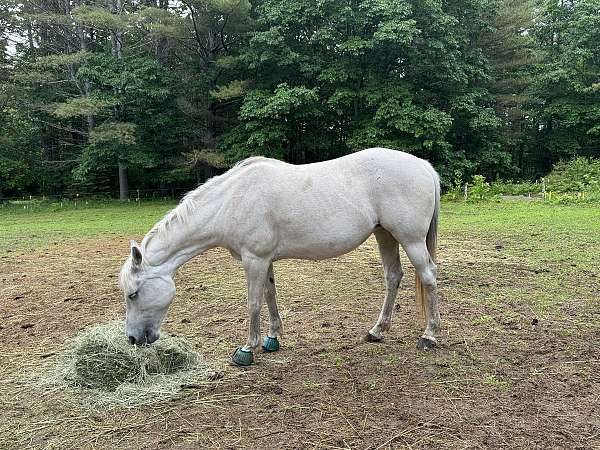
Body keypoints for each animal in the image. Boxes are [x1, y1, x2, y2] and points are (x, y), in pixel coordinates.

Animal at [119, 148, 442, 366]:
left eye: (133, 294)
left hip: (411, 240)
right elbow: (270, 295)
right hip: (385, 235)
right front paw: (272, 339)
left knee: (428, 277)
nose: (133, 339)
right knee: (393, 276)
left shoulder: (254, 259)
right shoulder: (265, 260)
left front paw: (246, 350)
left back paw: (429, 336)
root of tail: (424, 167)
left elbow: (253, 303)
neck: (231, 200)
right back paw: (377, 331)